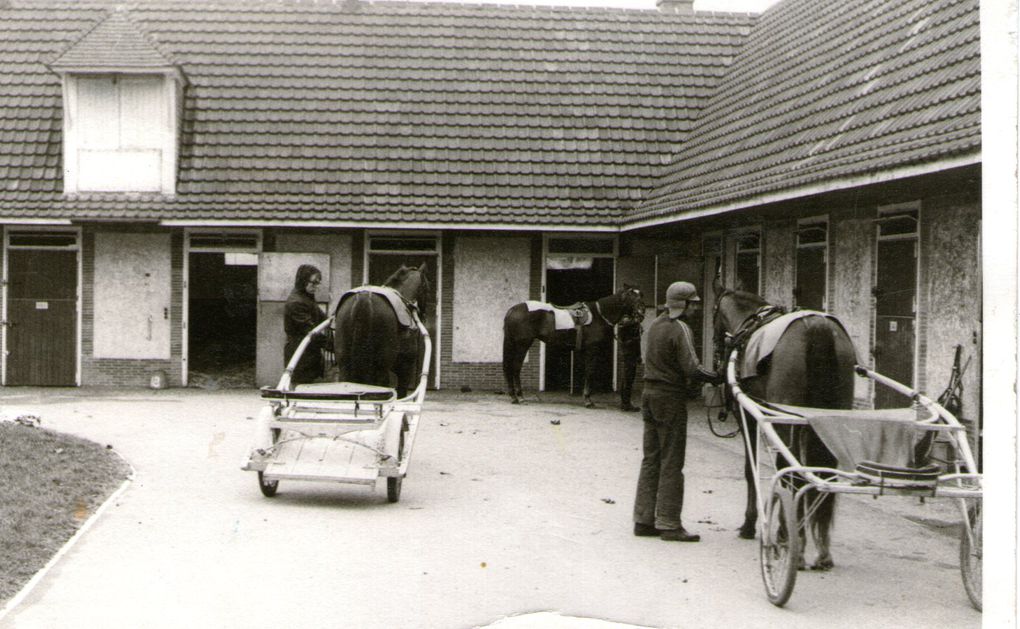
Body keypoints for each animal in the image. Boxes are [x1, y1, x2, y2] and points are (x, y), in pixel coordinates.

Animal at [334, 265, 430, 397]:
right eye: (427, 288)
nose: (423, 316)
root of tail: (364, 296)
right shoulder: (405, 367)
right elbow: (401, 392)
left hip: (345, 365)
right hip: (381, 369)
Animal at [503, 285, 644, 407]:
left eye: (641, 296)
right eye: (630, 296)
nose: (641, 312)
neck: (599, 315)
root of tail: (512, 309)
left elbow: (585, 372)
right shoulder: (592, 350)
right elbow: (590, 372)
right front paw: (588, 400)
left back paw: (514, 397)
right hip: (522, 344)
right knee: (516, 367)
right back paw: (520, 397)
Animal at [714, 279, 856, 570]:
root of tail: (816, 327)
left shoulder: (749, 419)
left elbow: (751, 469)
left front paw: (750, 524)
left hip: (786, 421)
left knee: (792, 471)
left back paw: (789, 538)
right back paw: (821, 550)